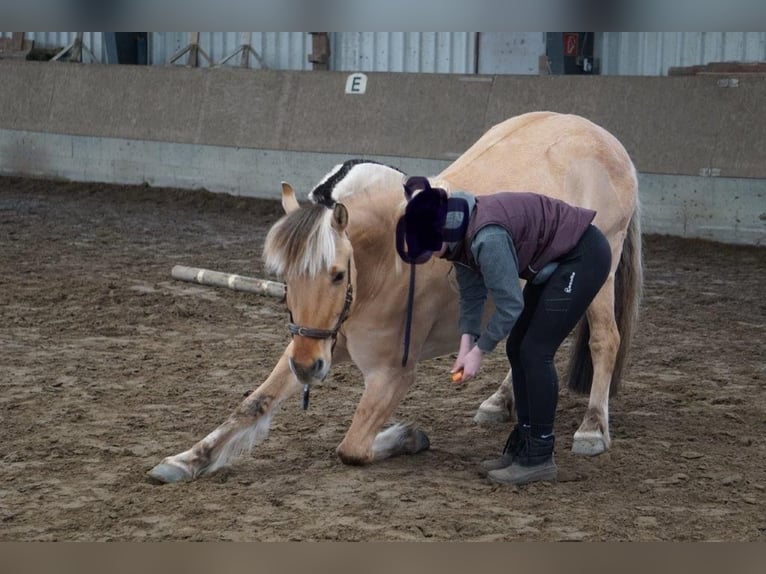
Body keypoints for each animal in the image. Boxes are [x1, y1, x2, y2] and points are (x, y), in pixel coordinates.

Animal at [148, 111, 642, 483]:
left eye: (337, 274)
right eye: (285, 277)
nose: (307, 369)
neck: (382, 264)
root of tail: (604, 138)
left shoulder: (392, 374)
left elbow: (352, 447)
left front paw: (407, 437)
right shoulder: (315, 344)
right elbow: (253, 404)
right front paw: (184, 460)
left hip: (602, 269)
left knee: (603, 340)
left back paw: (593, 429)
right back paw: (499, 403)